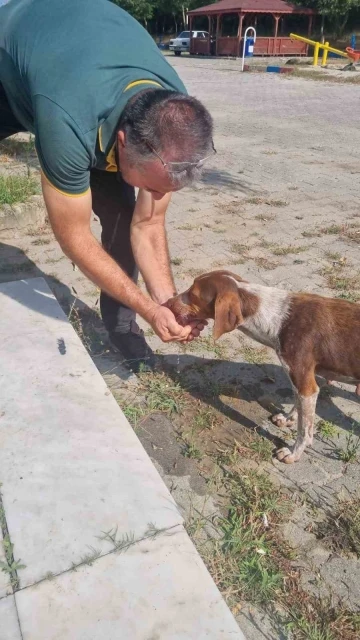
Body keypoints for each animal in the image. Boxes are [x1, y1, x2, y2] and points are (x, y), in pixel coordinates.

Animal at [168, 272, 360, 464]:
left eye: (193, 294)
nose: (169, 302)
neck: (279, 319)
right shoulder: (298, 382)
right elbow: (298, 407)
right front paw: (289, 418)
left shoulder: (306, 386)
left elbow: (304, 431)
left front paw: (294, 453)